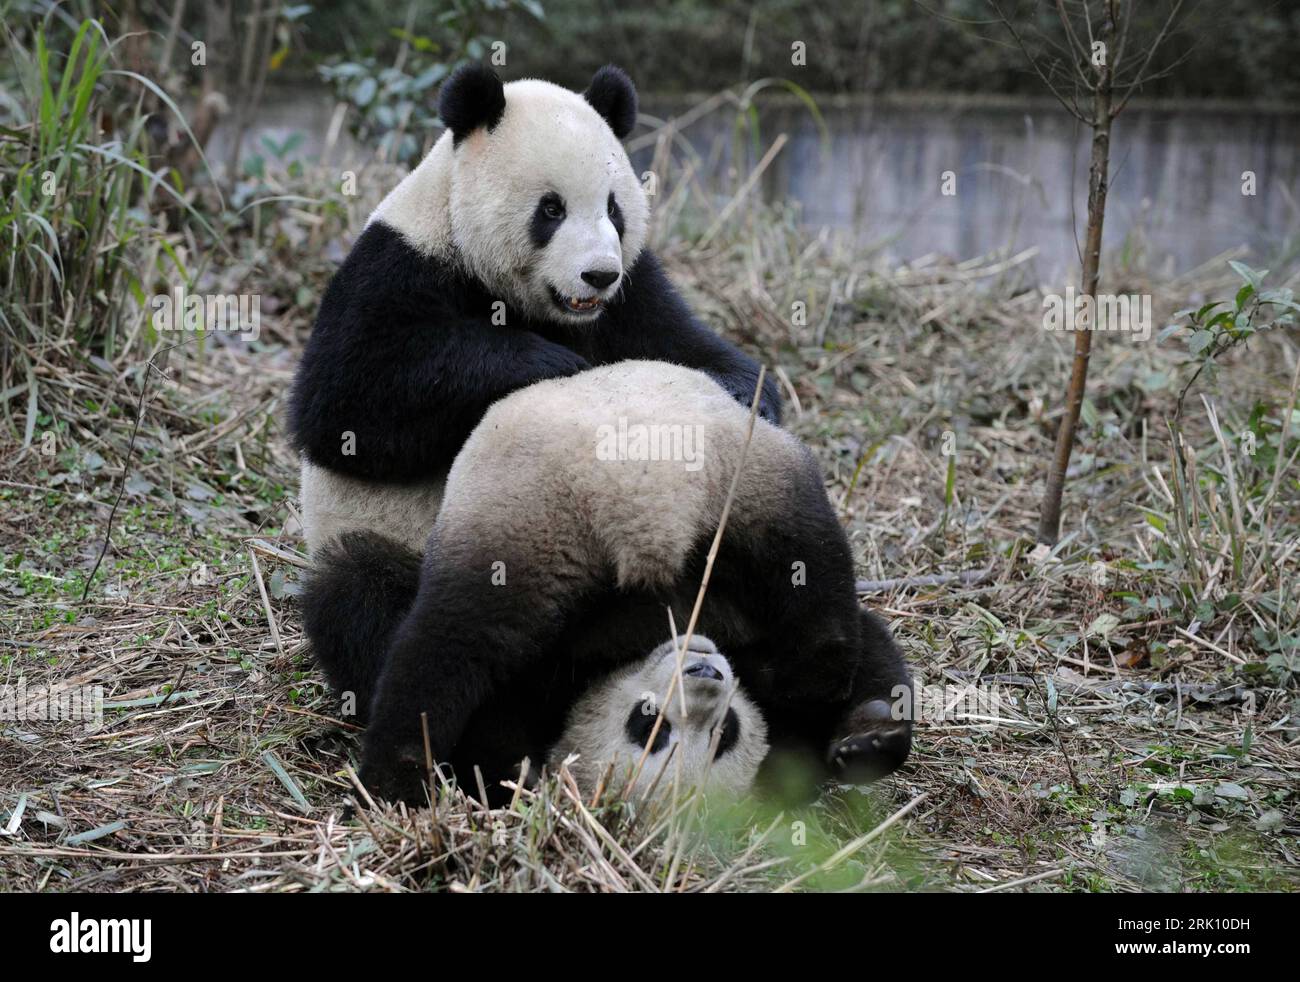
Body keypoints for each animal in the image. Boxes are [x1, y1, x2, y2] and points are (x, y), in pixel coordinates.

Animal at [289, 63, 774, 561]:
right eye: (552, 209)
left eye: (613, 208)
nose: (599, 275)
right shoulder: (398, 265)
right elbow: (345, 401)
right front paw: (554, 363)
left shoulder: (631, 286)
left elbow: (676, 339)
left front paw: (748, 394)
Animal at [304, 361, 915, 806]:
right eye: (650, 725)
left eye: (724, 733)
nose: (704, 672)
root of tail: (646, 503)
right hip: (748, 483)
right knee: (814, 580)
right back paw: (836, 693)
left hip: (529, 515)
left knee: (441, 635)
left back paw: (392, 778)